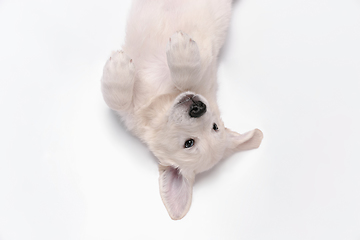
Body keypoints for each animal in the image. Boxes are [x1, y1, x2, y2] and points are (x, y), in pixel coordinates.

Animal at [100, 0, 262, 219]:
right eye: (215, 126)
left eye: (189, 143)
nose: (198, 107)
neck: (162, 99)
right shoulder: (130, 113)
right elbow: (117, 101)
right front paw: (119, 70)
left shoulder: (207, 60)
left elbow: (186, 76)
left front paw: (180, 49)